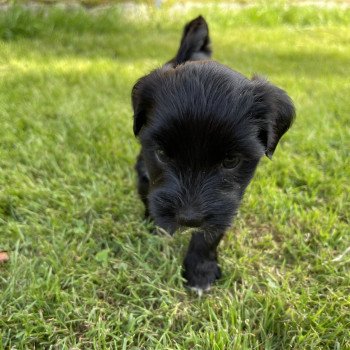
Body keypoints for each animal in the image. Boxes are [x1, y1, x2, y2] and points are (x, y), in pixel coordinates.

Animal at [131, 15, 296, 292]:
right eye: (162, 154)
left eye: (231, 161)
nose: (189, 218)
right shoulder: (146, 170)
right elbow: (149, 195)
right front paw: (156, 227)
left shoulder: (227, 200)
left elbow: (211, 232)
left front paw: (200, 271)